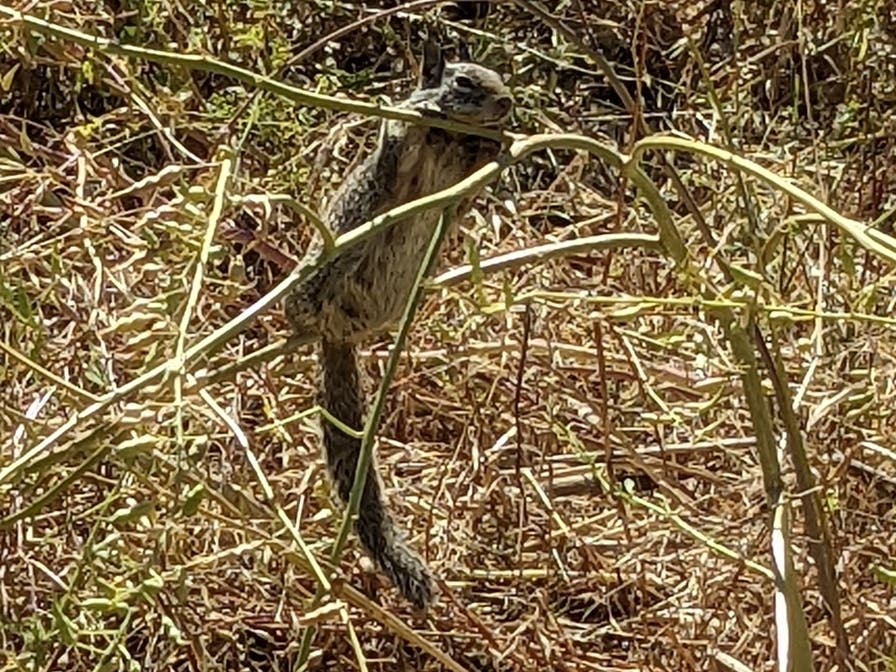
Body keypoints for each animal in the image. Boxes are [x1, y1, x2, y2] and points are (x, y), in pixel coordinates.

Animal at [284, 42, 513, 609]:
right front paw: (423, 109)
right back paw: (297, 309)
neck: (451, 139)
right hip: (325, 263)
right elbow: (398, 148)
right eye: (463, 83)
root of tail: (336, 335)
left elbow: (469, 187)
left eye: (499, 78)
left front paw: (497, 146)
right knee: (303, 297)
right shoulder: (401, 160)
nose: (507, 101)